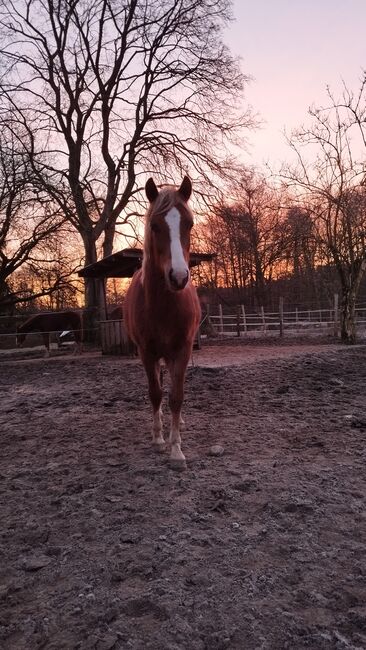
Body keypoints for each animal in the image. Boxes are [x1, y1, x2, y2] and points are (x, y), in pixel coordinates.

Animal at [124, 175, 202, 468]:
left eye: (189, 223)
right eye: (155, 226)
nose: (178, 277)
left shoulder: (182, 350)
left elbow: (176, 397)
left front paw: (176, 448)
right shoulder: (146, 352)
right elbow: (155, 393)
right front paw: (159, 438)